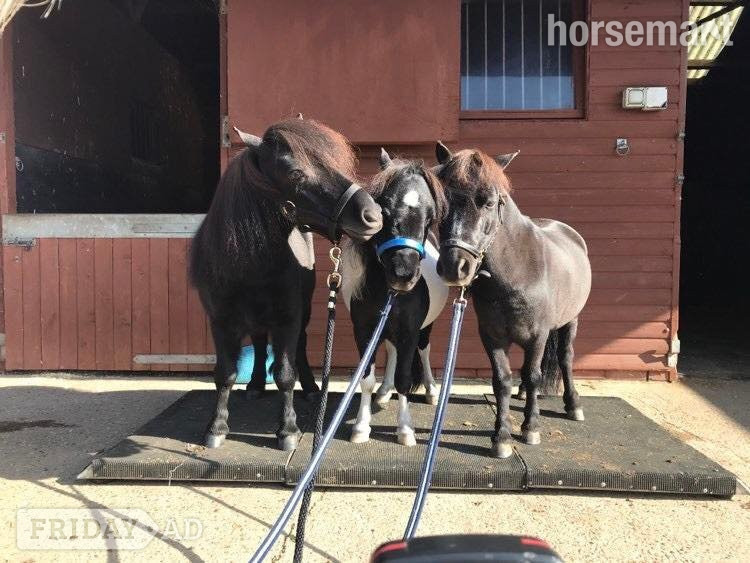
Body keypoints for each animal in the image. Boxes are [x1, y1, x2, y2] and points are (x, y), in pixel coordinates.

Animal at [190, 118, 383, 450]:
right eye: (295, 173)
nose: (373, 216)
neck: (249, 265)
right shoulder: (220, 321)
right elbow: (225, 374)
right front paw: (216, 427)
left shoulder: (288, 319)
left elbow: (284, 373)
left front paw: (288, 430)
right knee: (258, 341)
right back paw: (255, 385)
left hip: (302, 312)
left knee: (300, 345)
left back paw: (311, 388)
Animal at [340, 149, 448, 446]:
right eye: (384, 212)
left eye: (430, 218)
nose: (403, 274)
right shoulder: (364, 329)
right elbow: (366, 378)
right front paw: (361, 427)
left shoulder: (410, 329)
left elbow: (404, 378)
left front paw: (405, 430)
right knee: (391, 351)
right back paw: (384, 391)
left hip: (424, 328)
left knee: (423, 351)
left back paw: (431, 391)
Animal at [434, 142, 591, 458]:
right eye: (443, 200)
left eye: (489, 202)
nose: (455, 266)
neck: (518, 272)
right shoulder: (492, 336)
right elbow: (502, 381)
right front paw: (502, 436)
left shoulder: (538, 335)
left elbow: (533, 375)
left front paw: (531, 428)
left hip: (571, 320)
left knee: (565, 358)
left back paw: (573, 405)